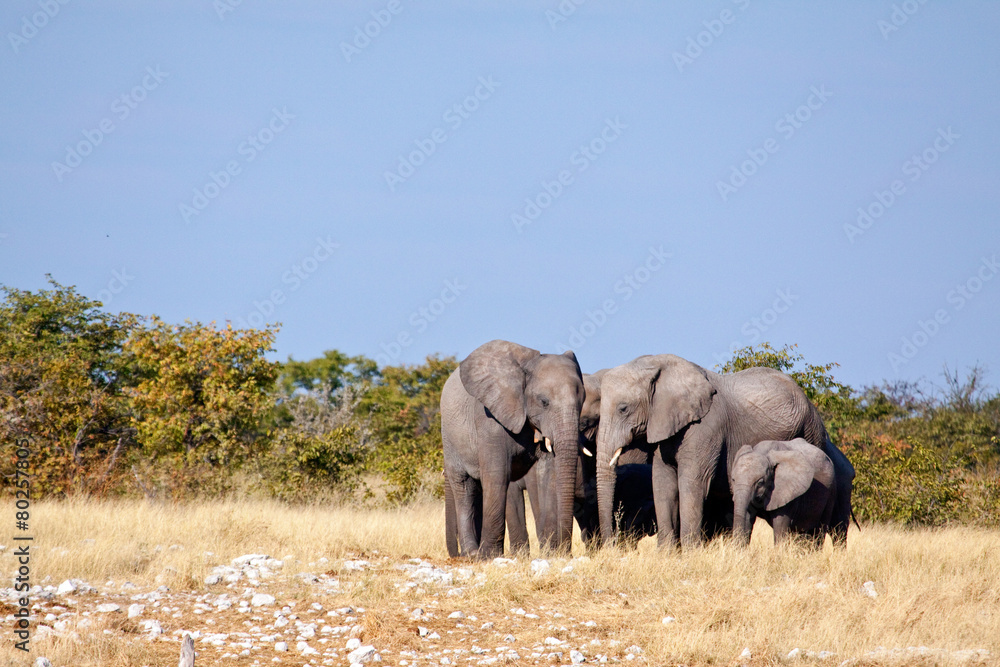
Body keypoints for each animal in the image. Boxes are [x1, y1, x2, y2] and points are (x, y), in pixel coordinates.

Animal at [441, 340, 584, 559]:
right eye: (543, 402)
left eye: (582, 401)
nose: (565, 551)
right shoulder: (490, 416)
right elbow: (497, 473)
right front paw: (489, 556)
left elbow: (547, 474)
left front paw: (551, 555)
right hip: (450, 438)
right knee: (463, 486)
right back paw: (472, 554)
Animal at [596, 354, 835, 549]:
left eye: (623, 408)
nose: (610, 546)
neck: (659, 364)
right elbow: (662, 483)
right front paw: (666, 554)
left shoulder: (706, 427)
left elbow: (693, 484)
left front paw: (690, 553)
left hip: (812, 431)